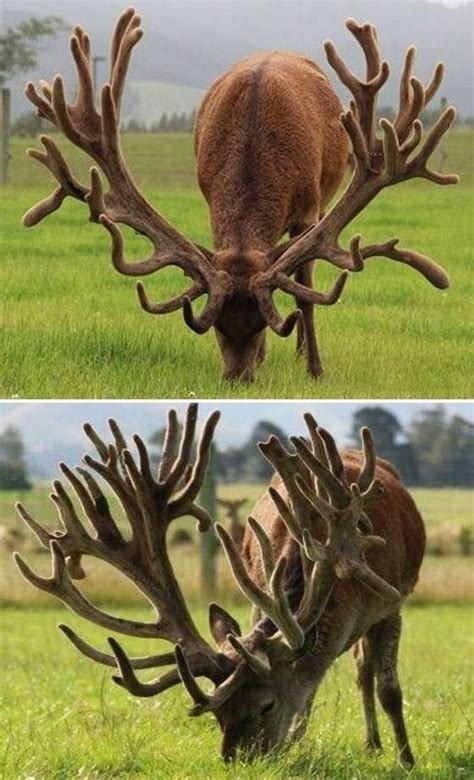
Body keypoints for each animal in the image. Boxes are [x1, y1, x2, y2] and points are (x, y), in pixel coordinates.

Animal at [13, 406, 426, 764]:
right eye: (219, 713)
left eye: (266, 704)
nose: (237, 759)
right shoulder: (260, 599)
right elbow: (309, 694)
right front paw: (298, 744)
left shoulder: (391, 602)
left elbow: (390, 690)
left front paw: (407, 760)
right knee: (357, 671)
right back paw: (368, 743)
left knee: (364, 670)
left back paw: (376, 744)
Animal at [24, 8, 458, 380]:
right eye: (216, 327)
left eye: (262, 325)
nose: (237, 377)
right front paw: (268, 360)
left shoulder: (310, 209)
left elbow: (304, 292)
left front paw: (314, 368)